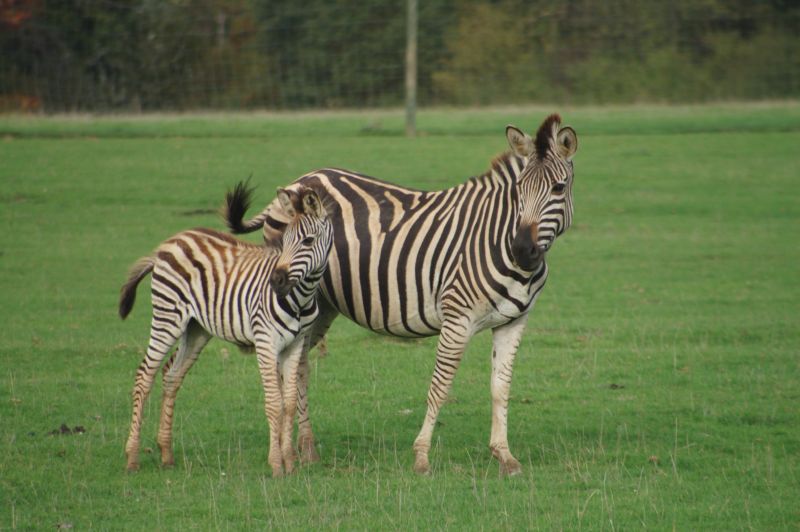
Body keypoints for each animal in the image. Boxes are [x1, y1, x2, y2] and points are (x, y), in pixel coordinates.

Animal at [118, 185, 332, 476]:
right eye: (285, 241)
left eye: (308, 241)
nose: (276, 281)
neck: (301, 298)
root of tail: (168, 243)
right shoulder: (266, 342)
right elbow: (274, 404)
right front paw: (277, 464)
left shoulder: (295, 345)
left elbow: (289, 404)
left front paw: (290, 463)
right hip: (167, 318)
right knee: (144, 375)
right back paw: (132, 457)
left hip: (196, 329)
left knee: (172, 376)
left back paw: (166, 454)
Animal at [228, 114, 580, 476]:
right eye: (519, 189)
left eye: (558, 188)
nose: (523, 251)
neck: (497, 237)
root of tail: (298, 181)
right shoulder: (458, 318)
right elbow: (440, 386)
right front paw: (422, 456)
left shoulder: (514, 322)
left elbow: (501, 387)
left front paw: (504, 455)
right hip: (293, 295)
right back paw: (294, 452)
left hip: (321, 305)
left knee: (299, 367)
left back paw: (307, 449)